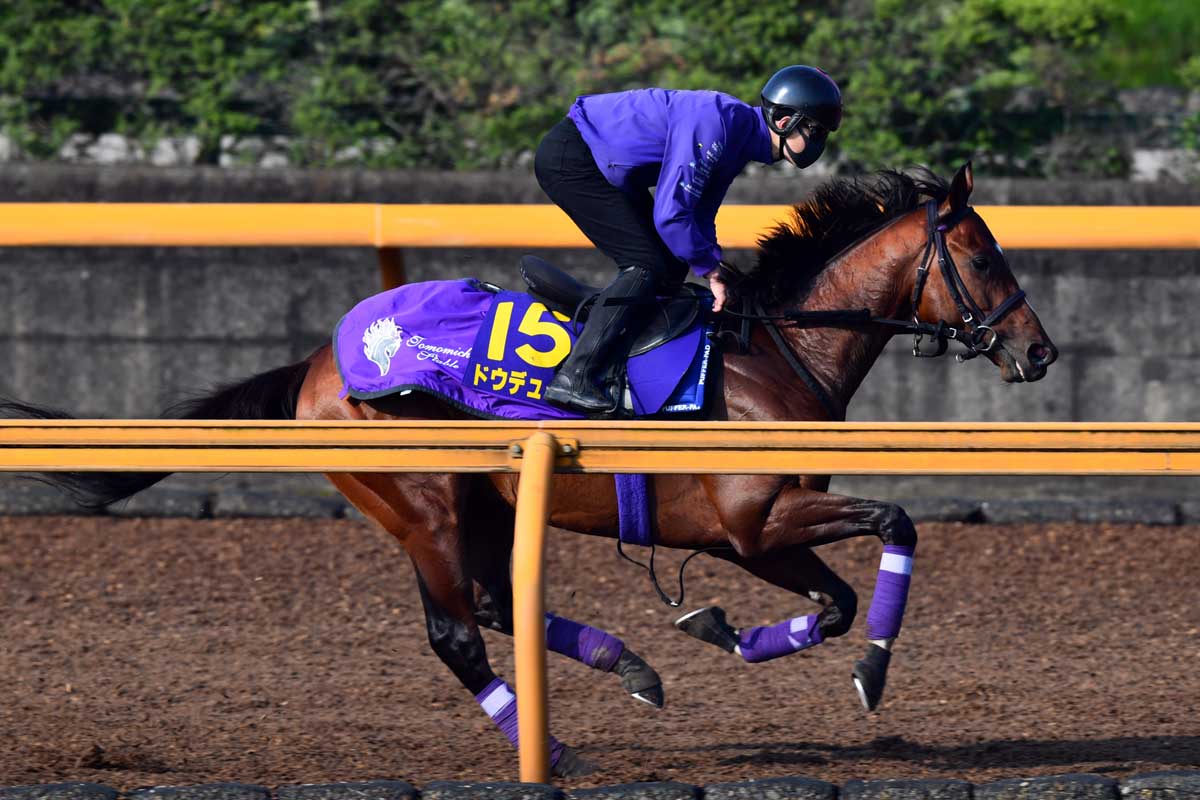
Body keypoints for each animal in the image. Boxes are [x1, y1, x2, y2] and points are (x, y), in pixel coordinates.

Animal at [3, 163, 1056, 778]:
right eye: (981, 255)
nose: (1038, 352)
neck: (770, 349)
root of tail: (319, 361)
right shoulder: (753, 520)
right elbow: (896, 527)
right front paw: (872, 671)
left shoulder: (753, 535)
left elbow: (831, 602)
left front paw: (714, 627)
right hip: (422, 502)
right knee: (456, 632)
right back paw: (556, 749)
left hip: (479, 500)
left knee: (493, 601)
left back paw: (630, 667)